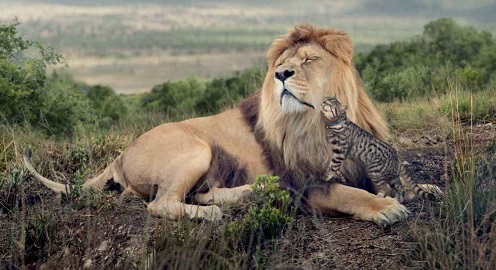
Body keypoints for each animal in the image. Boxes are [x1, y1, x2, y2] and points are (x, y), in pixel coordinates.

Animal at [23, 23, 410, 226]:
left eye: (309, 60)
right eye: (281, 64)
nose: (281, 74)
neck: (317, 121)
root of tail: (119, 156)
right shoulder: (305, 183)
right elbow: (349, 193)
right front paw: (386, 208)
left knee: (199, 193)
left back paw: (250, 193)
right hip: (196, 149)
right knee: (161, 203)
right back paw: (213, 213)